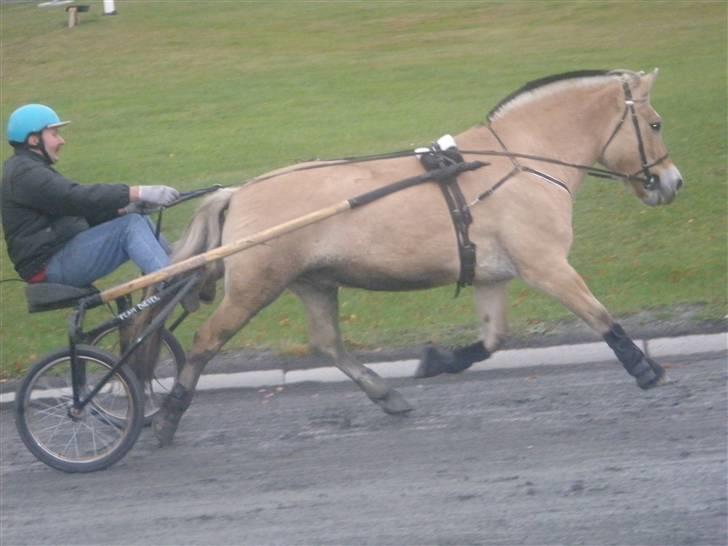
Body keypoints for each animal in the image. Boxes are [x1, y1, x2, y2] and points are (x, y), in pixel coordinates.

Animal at [141, 68, 684, 444]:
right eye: (655, 123)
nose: (672, 182)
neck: (519, 162)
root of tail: (240, 192)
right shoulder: (547, 266)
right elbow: (600, 316)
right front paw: (645, 368)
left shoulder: (492, 277)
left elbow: (492, 340)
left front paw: (437, 360)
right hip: (255, 287)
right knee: (206, 342)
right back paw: (166, 418)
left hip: (314, 283)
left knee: (328, 343)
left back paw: (386, 394)